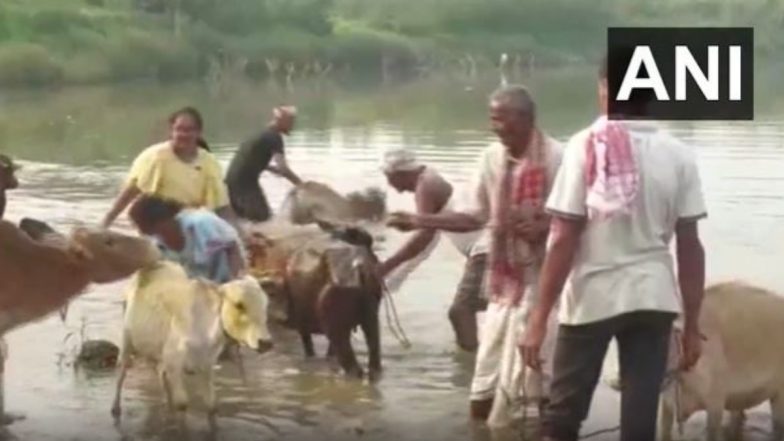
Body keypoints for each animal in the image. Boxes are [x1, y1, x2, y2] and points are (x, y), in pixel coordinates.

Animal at [111, 262, 272, 426]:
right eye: (239, 305)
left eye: (265, 304)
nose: (266, 343)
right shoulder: (174, 363)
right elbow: (182, 404)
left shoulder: (206, 365)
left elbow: (211, 405)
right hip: (127, 342)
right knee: (121, 375)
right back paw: (116, 408)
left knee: (160, 374)